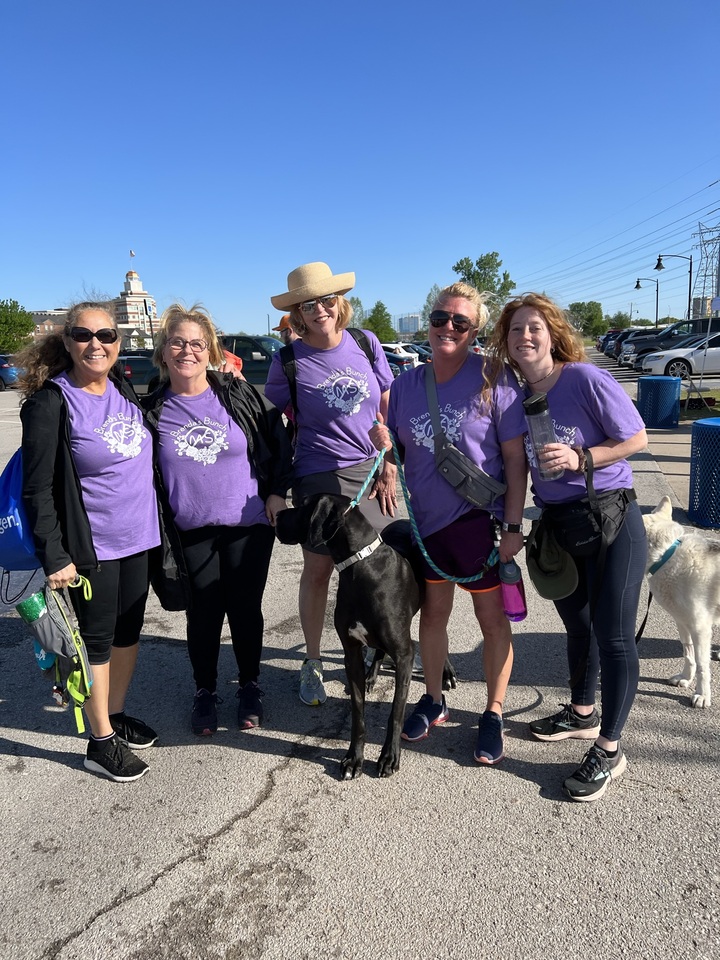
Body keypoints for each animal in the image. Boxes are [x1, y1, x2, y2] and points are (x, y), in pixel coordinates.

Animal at [640, 498, 720, 708]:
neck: (666, 555)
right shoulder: (682, 622)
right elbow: (688, 654)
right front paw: (686, 678)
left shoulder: (700, 628)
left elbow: (702, 665)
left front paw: (702, 695)